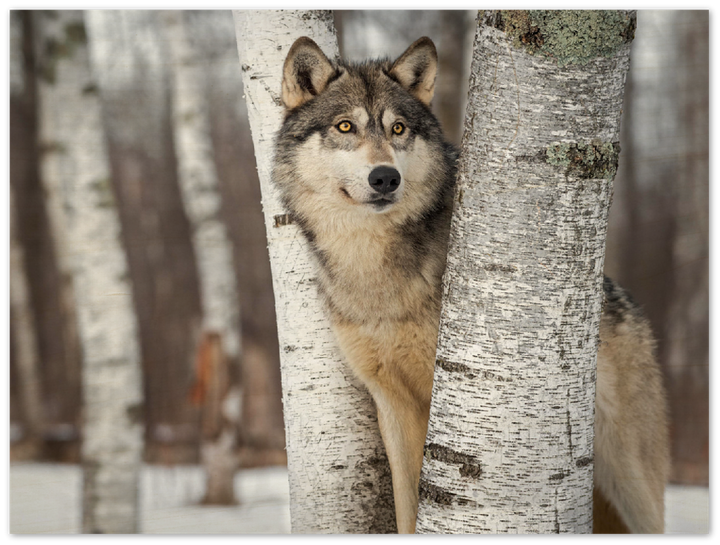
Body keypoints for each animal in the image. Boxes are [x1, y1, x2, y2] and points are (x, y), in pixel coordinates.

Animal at [273, 36, 669, 534]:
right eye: (346, 126)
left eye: (398, 129)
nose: (385, 177)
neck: (374, 271)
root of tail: (626, 303)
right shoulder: (392, 404)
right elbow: (407, 507)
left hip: (631, 483)